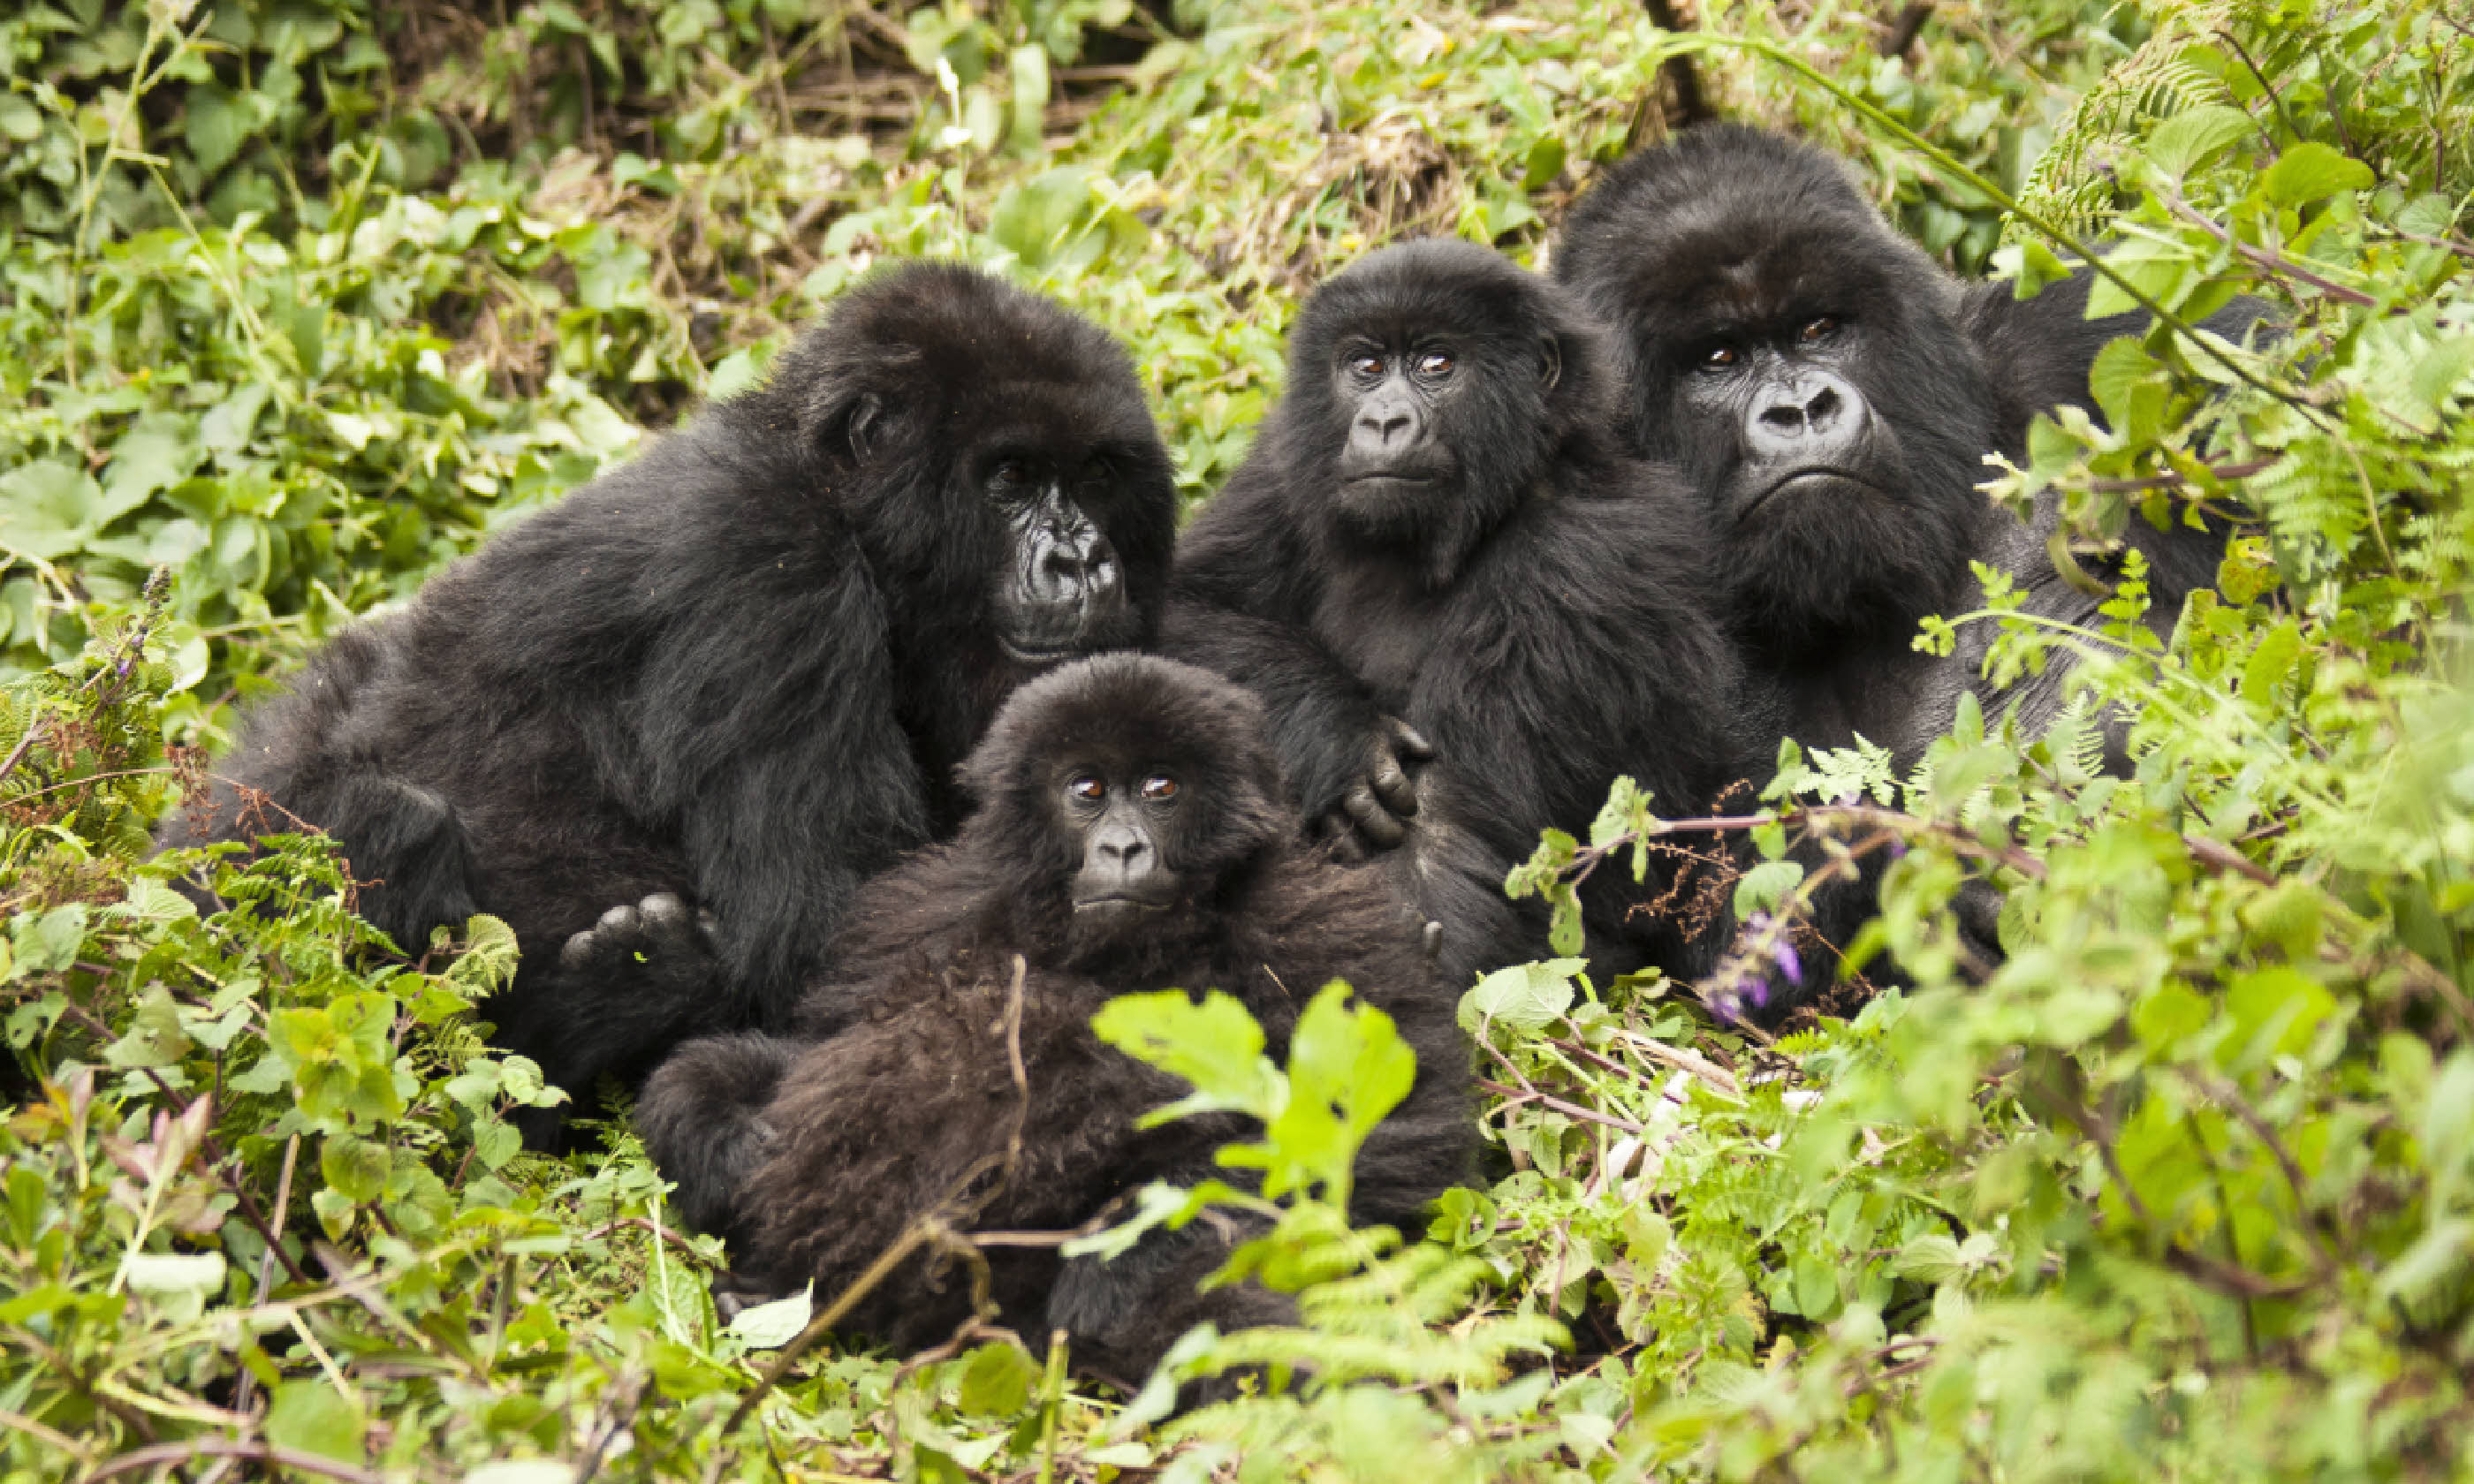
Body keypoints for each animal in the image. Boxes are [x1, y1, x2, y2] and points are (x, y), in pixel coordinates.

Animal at [159, 267, 1182, 1142]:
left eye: (1096, 476)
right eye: (1010, 477)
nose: (1082, 561)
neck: (836, 499)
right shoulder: (765, 572)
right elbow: (823, 932)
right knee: (387, 823)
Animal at [643, 653, 1484, 1385]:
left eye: (1161, 787)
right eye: (1087, 789)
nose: (1122, 847)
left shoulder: (1314, 924)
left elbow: (1393, 1126)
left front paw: (1126, 1259)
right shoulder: (927, 913)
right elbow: (813, 1050)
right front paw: (723, 1133)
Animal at [1157, 241, 1761, 984]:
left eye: (1436, 364)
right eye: (1366, 367)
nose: (1383, 422)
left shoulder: (1582, 557)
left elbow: (1443, 854)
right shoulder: (1283, 468)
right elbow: (1185, 612)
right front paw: (1335, 733)